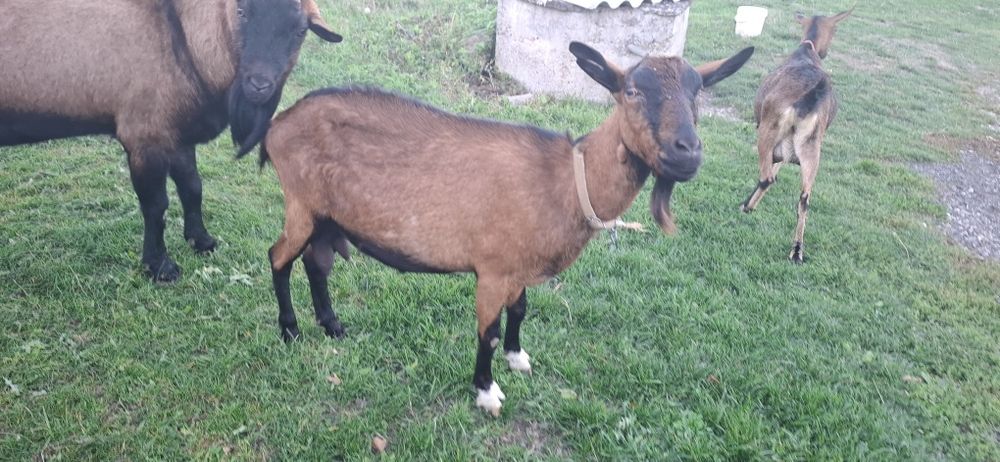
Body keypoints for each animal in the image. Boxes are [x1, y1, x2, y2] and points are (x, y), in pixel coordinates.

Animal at [0, 0, 341, 281]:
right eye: (242, 12)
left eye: (300, 30)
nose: (259, 84)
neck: (184, 39)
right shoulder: (145, 137)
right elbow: (156, 206)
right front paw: (160, 266)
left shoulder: (177, 135)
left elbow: (193, 188)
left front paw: (201, 240)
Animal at [256, 42, 754, 415]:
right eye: (631, 90)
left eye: (698, 93)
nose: (687, 151)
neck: (565, 181)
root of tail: (279, 123)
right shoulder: (493, 271)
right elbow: (489, 332)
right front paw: (486, 393)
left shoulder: (519, 267)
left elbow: (520, 311)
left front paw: (518, 358)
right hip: (301, 204)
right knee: (279, 257)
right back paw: (290, 330)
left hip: (326, 216)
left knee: (316, 264)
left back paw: (332, 325)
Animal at [739, 8, 853, 263]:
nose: (825, 51)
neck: (807, 50)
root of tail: (810, 96)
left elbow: (772, 171)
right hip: (812, 148)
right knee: (804, 198)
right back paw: (797, 249)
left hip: (768, 132)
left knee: (767, 178)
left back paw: (747, 207)